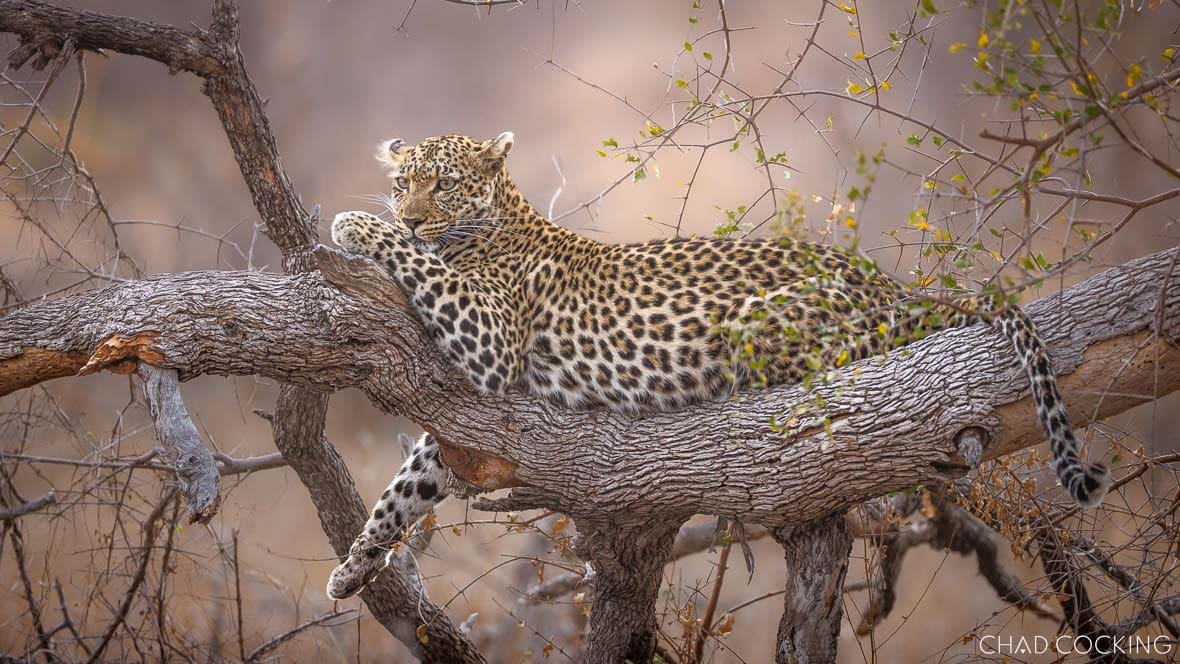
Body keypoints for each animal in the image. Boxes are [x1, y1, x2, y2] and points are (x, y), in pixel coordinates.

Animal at [325, 132, 1109, 600]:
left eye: (443, 185)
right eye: (404, 182)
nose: (412, 213)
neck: (490, 224)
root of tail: (892, 288)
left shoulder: (488, 336)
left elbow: (417, 261)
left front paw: (355, 224)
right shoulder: (460, 424)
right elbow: (404, 485)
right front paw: (355, 566)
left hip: (761, 321)